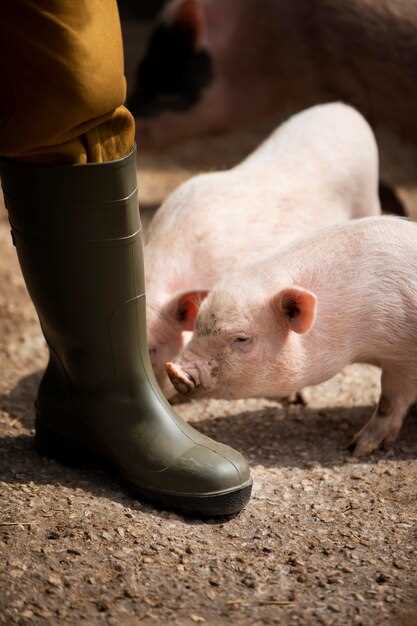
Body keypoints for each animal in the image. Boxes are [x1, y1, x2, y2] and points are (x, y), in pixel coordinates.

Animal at [167, 213, 416, 454]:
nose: (174, 370)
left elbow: (389, 400)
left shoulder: (403, 358)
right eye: (197, 325)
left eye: (241, 338)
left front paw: (357, 449)